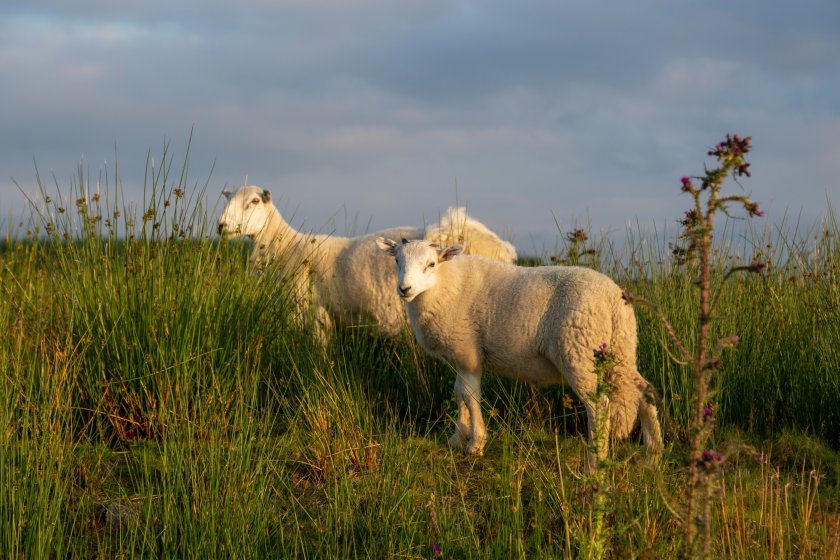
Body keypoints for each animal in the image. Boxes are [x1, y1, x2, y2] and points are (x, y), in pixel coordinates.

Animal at [376, 236, 664, 468]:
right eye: (397, 261)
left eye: (431, 264)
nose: (404, 289)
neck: (445, 285)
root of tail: (614, 297)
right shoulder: (462, 355)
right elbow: (458, 392)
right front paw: (458, 437)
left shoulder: (467, 349)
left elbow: (470, 395)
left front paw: (476, 443)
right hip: (620, 349)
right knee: (644, 390)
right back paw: (652, 456)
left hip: (580, 351)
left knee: (598, 405)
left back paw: (594, 464)